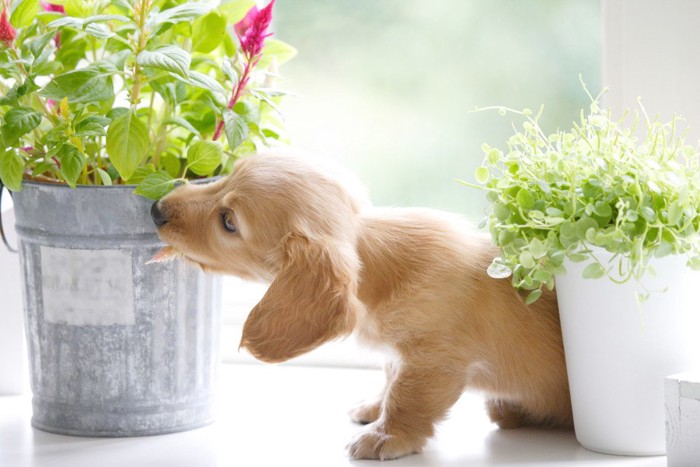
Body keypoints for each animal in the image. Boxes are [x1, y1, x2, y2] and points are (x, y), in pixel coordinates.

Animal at [150, 151, 572, 460]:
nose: (156, 209)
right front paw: (375, 408)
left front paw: (388, 434)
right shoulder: (401, 356)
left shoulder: (432, 359)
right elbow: (390, 376)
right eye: (226, 176)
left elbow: (406, 397)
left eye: (229, 222)